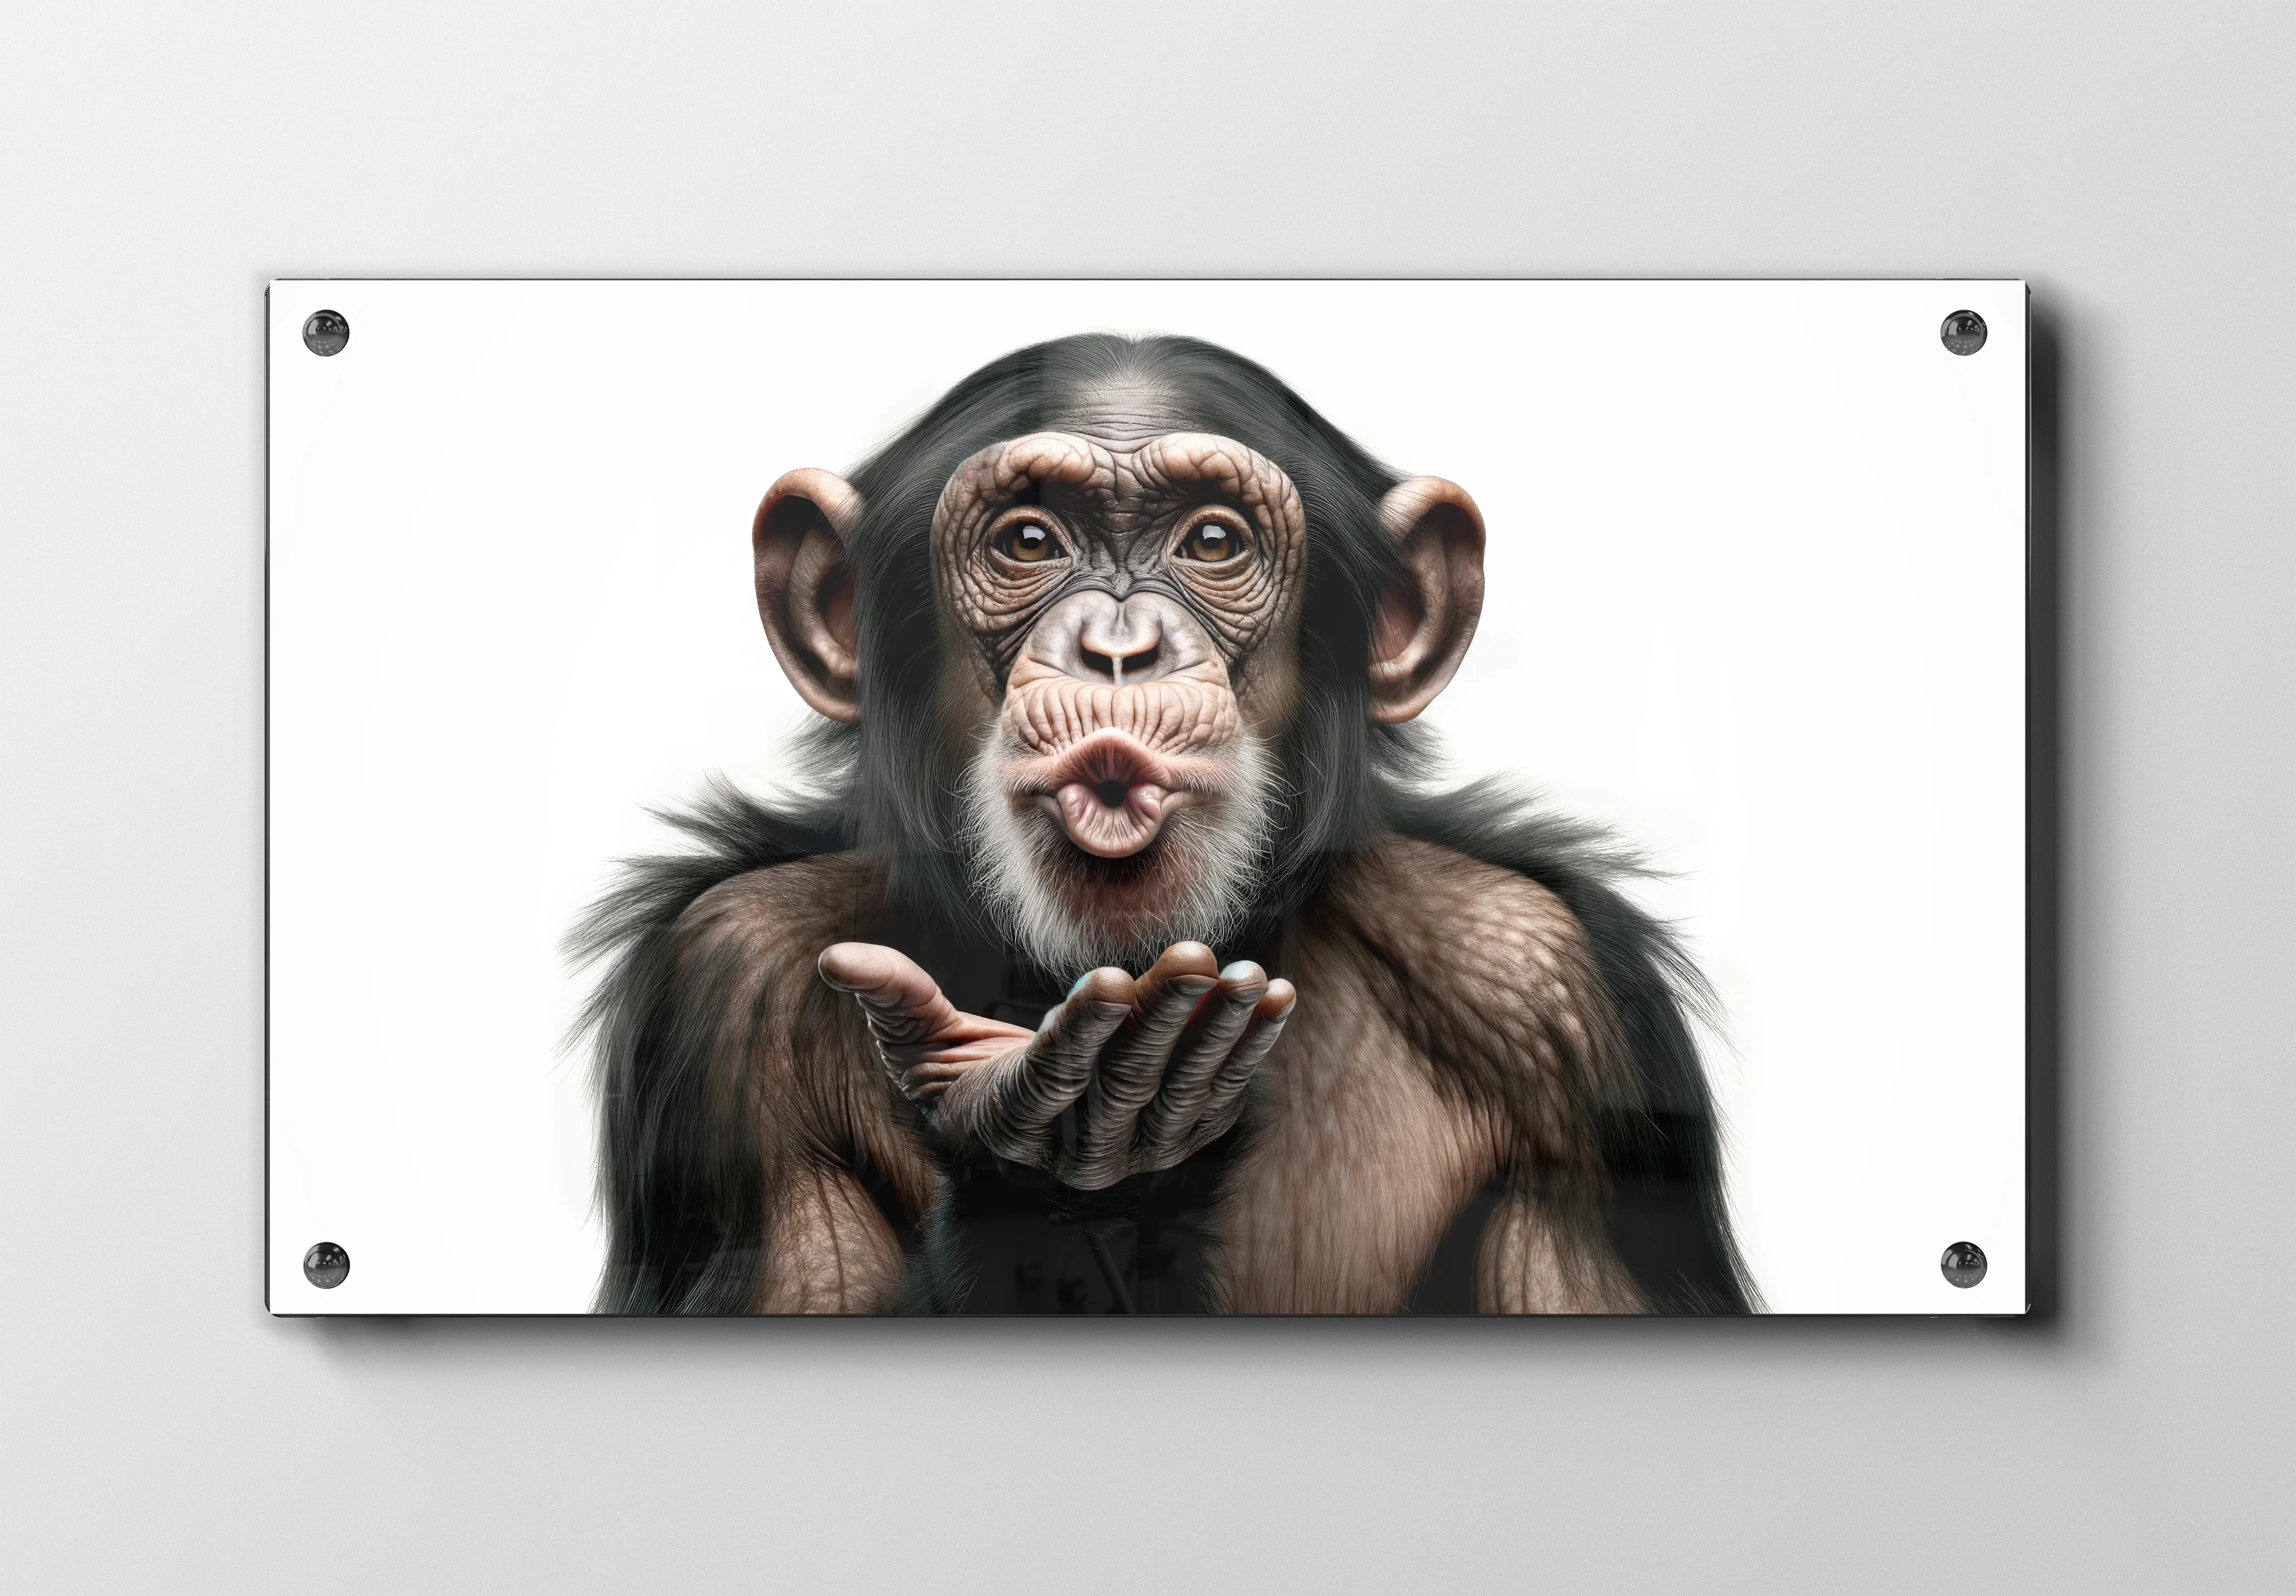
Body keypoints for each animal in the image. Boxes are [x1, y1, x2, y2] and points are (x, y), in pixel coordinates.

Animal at [571, 332, 1758, 1315]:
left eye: (1212, 541)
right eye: (1030, 540)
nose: (1118, 649)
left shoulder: (1554, 1005)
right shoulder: (724, 990)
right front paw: (1042, 1176)